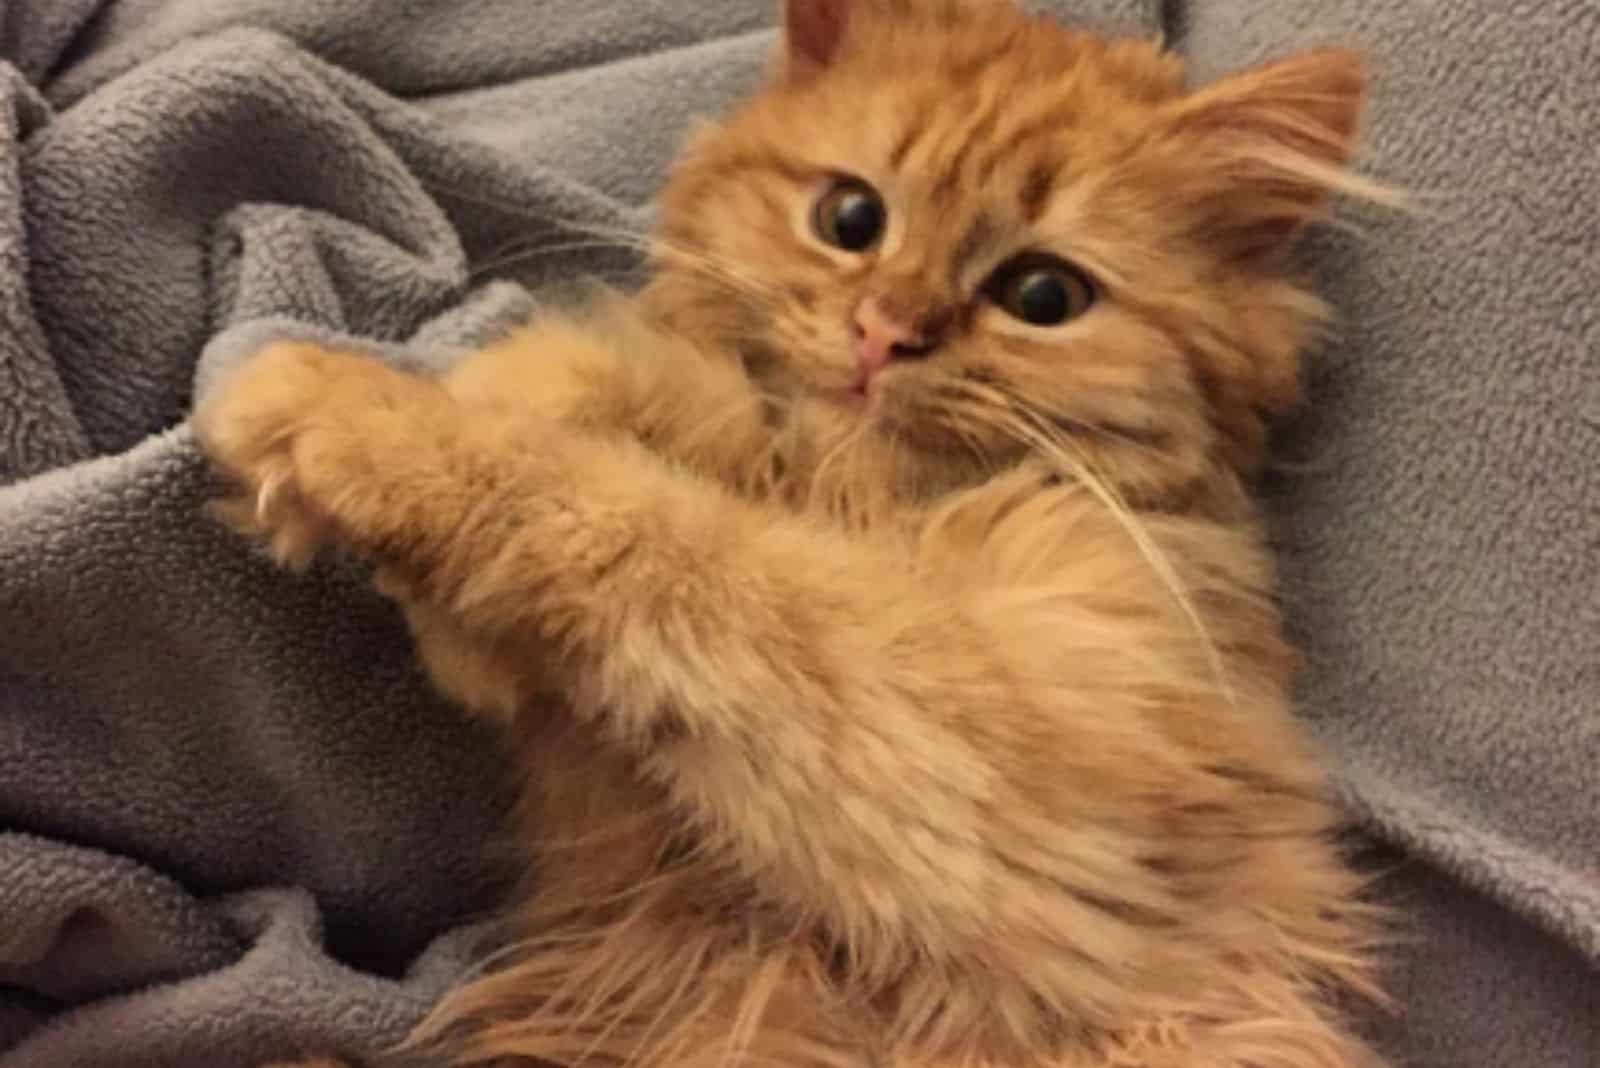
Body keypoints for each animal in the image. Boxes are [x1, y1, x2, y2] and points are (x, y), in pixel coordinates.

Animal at [200, 2, 1388, 1068]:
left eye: (1044, 296)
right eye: (852, 220)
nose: (885, 333)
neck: (845, 499)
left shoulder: (1007, 774)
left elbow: (678, 543)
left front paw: (359, 419)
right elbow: (667, 409)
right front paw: (519, 399)